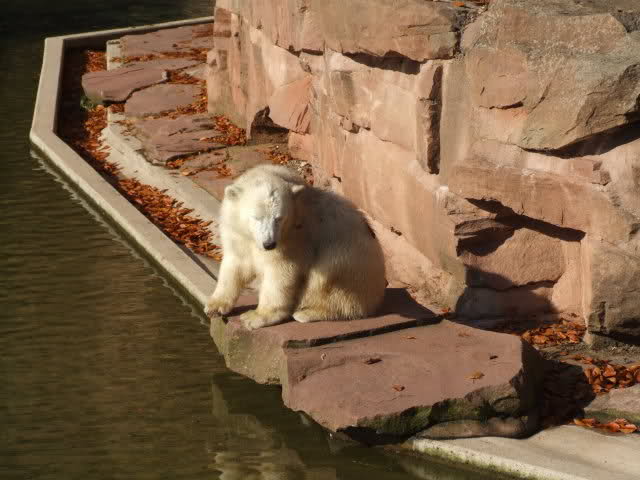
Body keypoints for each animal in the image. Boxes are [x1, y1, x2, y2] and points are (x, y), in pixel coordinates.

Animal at [205, 164, 386, 330]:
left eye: (279, 218)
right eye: (256, 217)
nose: (269, 244)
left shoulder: (295, 236)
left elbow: (281, 270)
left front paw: (255, 317)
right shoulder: (238, 233)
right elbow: (236, 264)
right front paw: (215, 306)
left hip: (351, 260)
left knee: (329, 276)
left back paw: (307, 312)